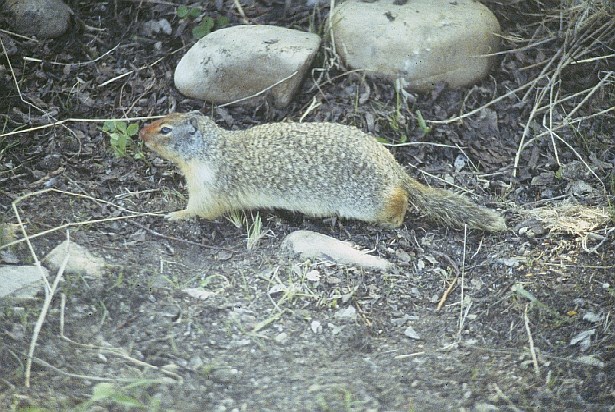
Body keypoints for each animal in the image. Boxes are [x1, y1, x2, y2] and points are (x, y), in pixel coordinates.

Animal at [142, 111, 508, 230]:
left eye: (165, 130)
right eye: (159, 120)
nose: (141, 133)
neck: (212, 151)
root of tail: (392, 166)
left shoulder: (210, 188)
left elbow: (200, 210)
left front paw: (173, 215)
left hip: (370, 200)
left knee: (399, 201)